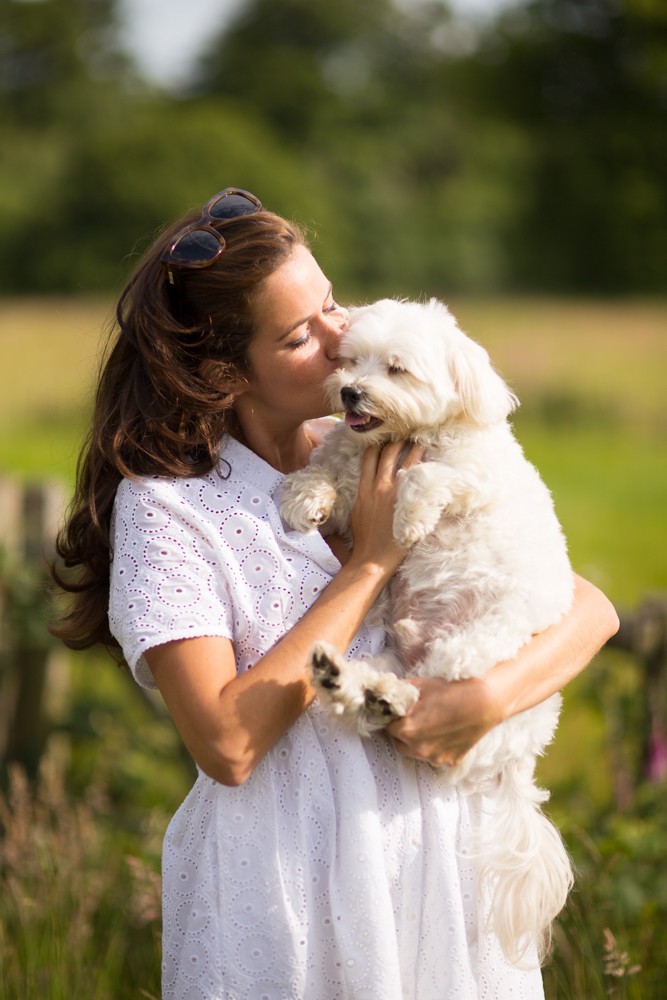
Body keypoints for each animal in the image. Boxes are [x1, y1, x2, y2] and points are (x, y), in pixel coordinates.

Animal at [280, 298, 576, 968]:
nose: (350, 392)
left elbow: (427, 480)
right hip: (390, 651)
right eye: (349, 359)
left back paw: (390, 695)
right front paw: (303, 498)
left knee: (424, 695)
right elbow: (321, 473)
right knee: (370, 704)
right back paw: (342, 681)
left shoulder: (470, 476)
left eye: (396, 368)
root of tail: (520, 759)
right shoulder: (347, 470)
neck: (400, 439)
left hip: (475, 652)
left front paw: (410, 518)